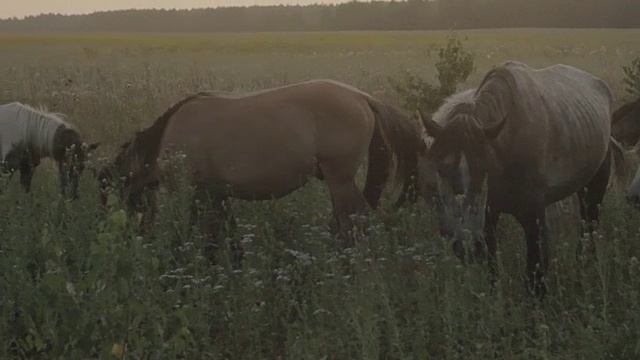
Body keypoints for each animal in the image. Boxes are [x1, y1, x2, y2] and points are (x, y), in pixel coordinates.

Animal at [97, 79, 422, 245]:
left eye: (110, 196)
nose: (125, 235)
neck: (168, 135)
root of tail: (361, 97)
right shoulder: (215, 194)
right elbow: (224, 231)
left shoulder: (191, 192)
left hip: (339, 178)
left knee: (354, 220)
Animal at [416, 62, 624, 298]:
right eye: (440, 168)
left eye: (483, 169)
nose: (467, 246)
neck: (506, 147)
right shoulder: (489, 216)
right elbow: (493, 266)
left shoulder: (534, 214)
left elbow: (536, 270)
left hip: (595, 186)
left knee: (589, 226)